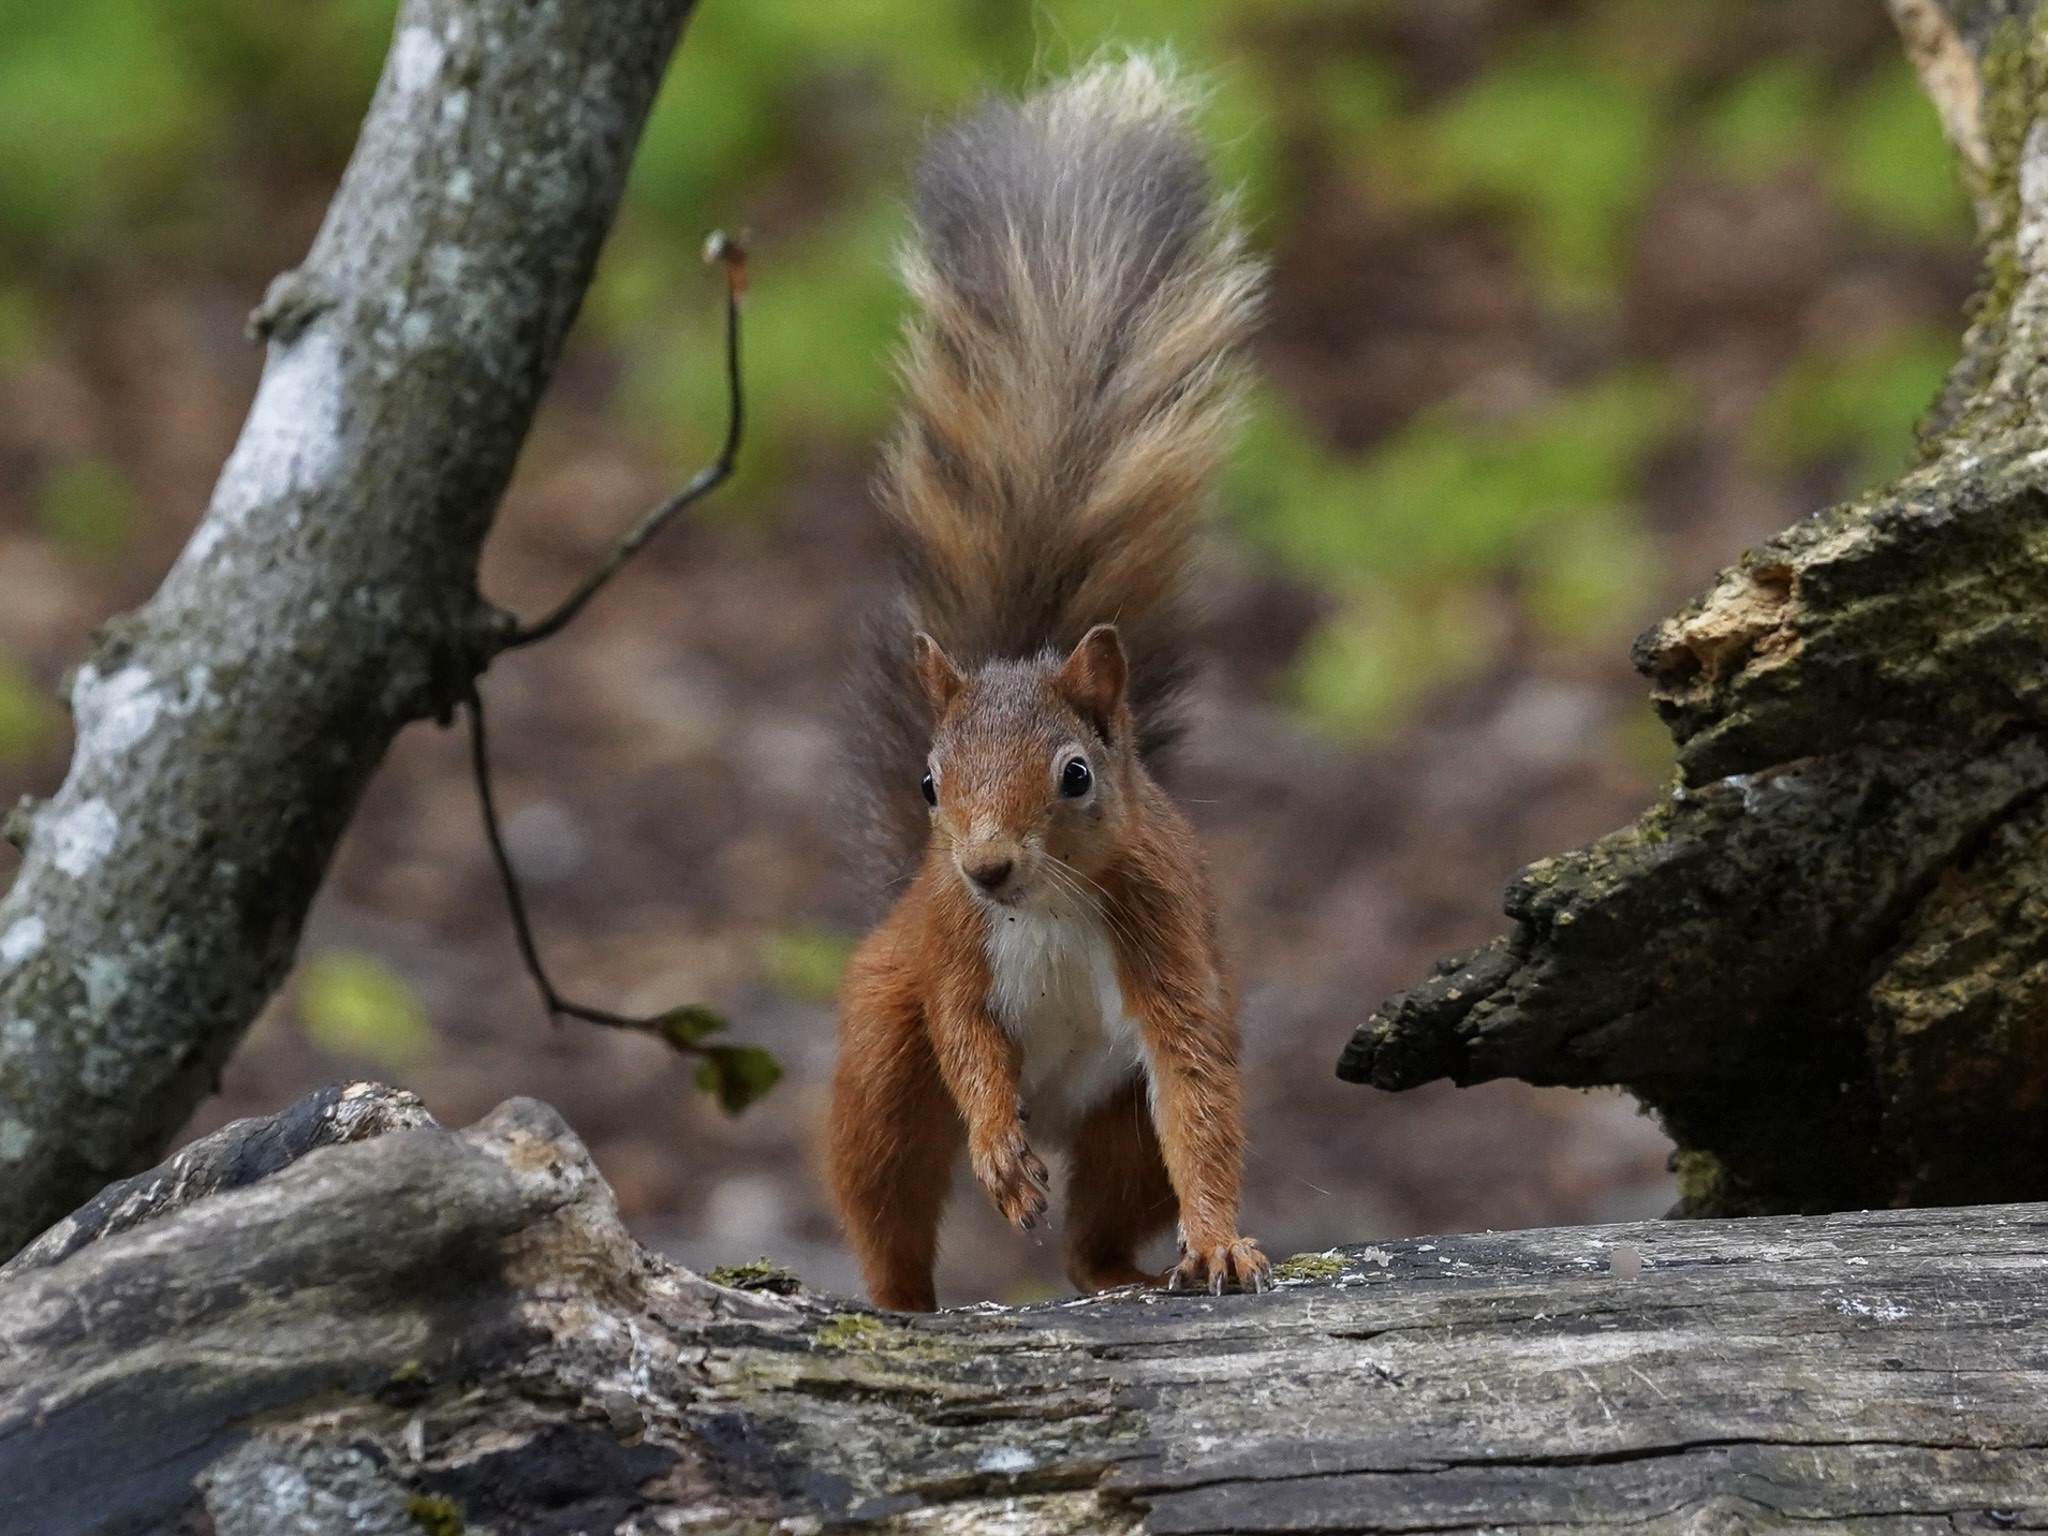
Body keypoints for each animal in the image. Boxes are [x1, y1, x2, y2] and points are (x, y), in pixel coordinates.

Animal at [827, 56, 1271, 1313]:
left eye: (1075, 775)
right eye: (929, 787)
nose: (982, 867)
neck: (1048, 911)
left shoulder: (1166, 944)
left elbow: (1197, 1095)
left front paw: (1220, 1241)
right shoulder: (949, 952)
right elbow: (970, 1046)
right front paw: (996, 1155)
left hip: (1115, 1130)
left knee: (1097, 1224)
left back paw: (1122, 1270)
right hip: (881, 1058)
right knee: (885, 1192)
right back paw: (900, 1300)